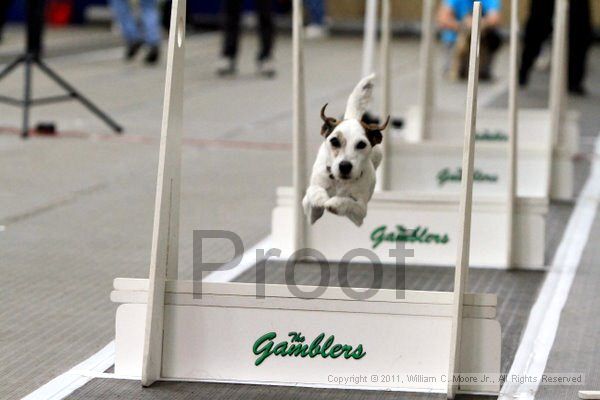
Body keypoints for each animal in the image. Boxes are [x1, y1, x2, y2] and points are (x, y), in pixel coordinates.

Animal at [300, 73, 390, 227]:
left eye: (361, 144)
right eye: (334, 141)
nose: (345, 166)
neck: (339, 182)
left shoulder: (360, 214)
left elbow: (349, 202)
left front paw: (335, 203)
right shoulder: (309, 211)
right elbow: (313, 191)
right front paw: (320, 197)